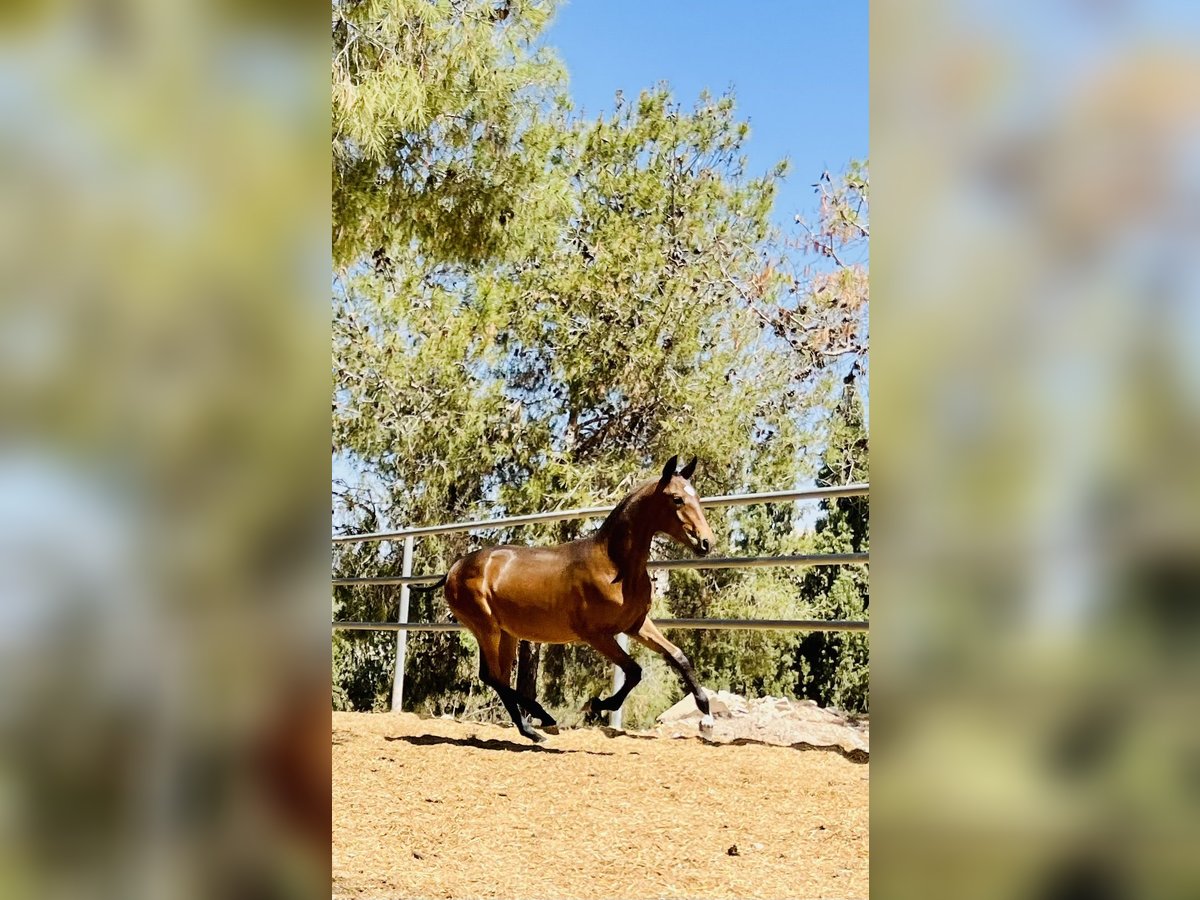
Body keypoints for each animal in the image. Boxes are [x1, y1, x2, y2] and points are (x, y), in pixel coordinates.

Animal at [439, 453, 710, 744]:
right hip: (485, 627)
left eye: (697, 496)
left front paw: (706, 712)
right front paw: (596, 705)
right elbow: (634, 671)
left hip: (505, 633)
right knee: (492, 677)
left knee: (496, 676)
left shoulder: (636, 625)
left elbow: (678, 656)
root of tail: (453, 570)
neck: (614, 567)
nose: (706, 542)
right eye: (677, 498)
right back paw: (542, 722)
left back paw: (533, 729)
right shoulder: (595, 634)